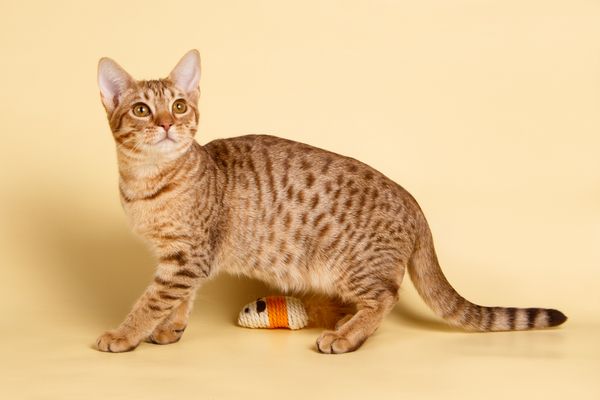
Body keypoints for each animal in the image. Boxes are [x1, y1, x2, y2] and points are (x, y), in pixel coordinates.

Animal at [95, 50, 568, 354]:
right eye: (141, 110)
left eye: (179, 106)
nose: (166, 124)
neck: (147, 180)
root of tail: (414, 203)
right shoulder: (182, 260)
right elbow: (178, 300)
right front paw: (170, 329)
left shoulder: (186, 258)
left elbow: (151, 301)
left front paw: (123, 335)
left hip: (348, 264)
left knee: (386, 297)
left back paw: (347, 336)